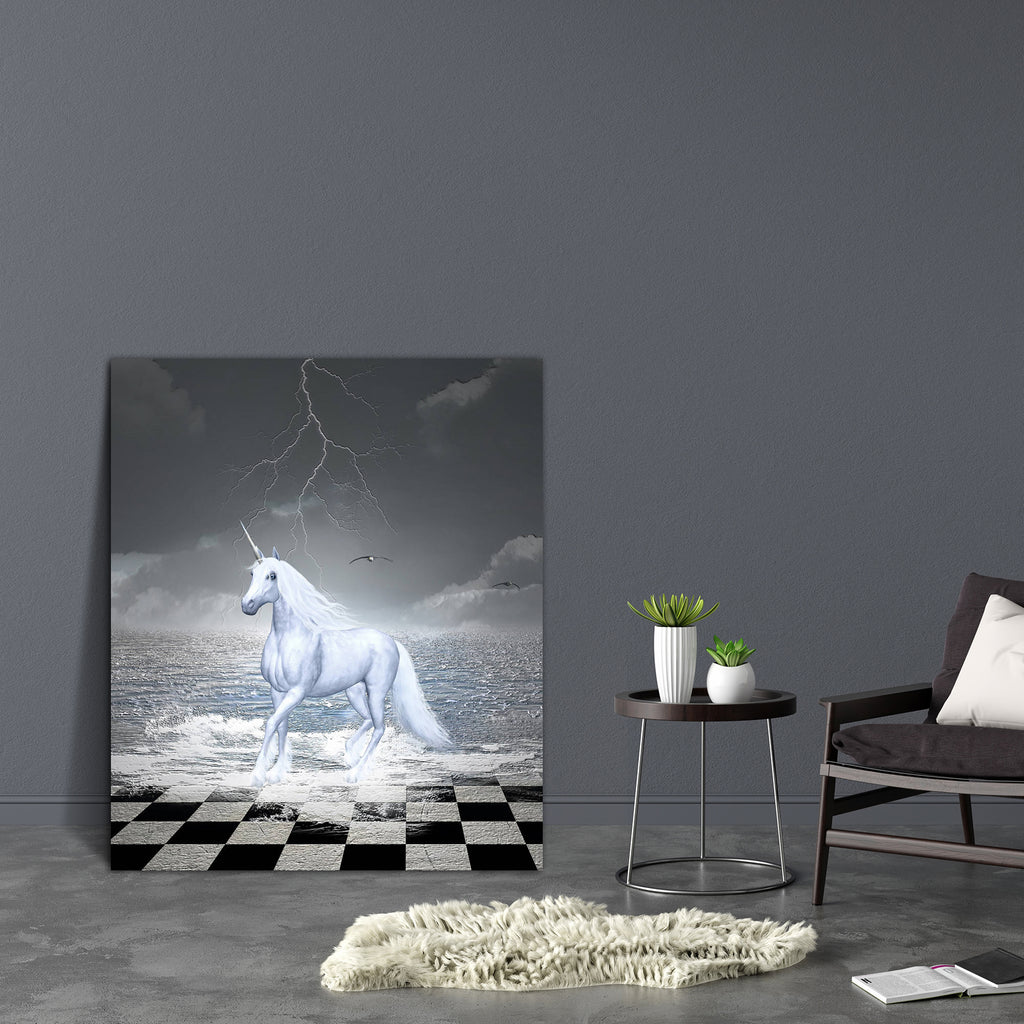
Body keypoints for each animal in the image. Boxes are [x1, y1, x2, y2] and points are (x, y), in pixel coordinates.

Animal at [238, 528, 451, 787]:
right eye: (252, 573)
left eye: (272, 576)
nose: (247, 605)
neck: (287, 639)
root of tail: (392, 641)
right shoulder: (277, 691)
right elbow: (282, 727)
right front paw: (276, 773)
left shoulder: (297, 692)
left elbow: (271, 723)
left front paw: (258, 775)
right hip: (354, 692)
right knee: (369, 720)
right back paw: (350, 755)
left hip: (376, 692)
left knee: (380, 727)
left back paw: (355, 773)